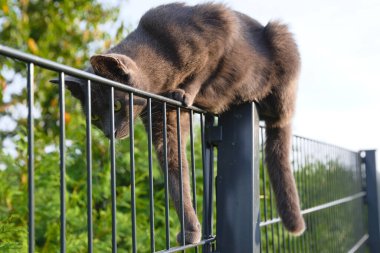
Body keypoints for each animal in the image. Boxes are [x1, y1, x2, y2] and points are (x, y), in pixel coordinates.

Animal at [52, 2, 304, 245]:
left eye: (116, 105)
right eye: (94, 118)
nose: (108, 132)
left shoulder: (220, 25)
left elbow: (203, 70)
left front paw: (185, 92)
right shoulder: (163, 121)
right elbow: (175, 172)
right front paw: (191, 230)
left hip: (281, 40)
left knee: (280, 116)